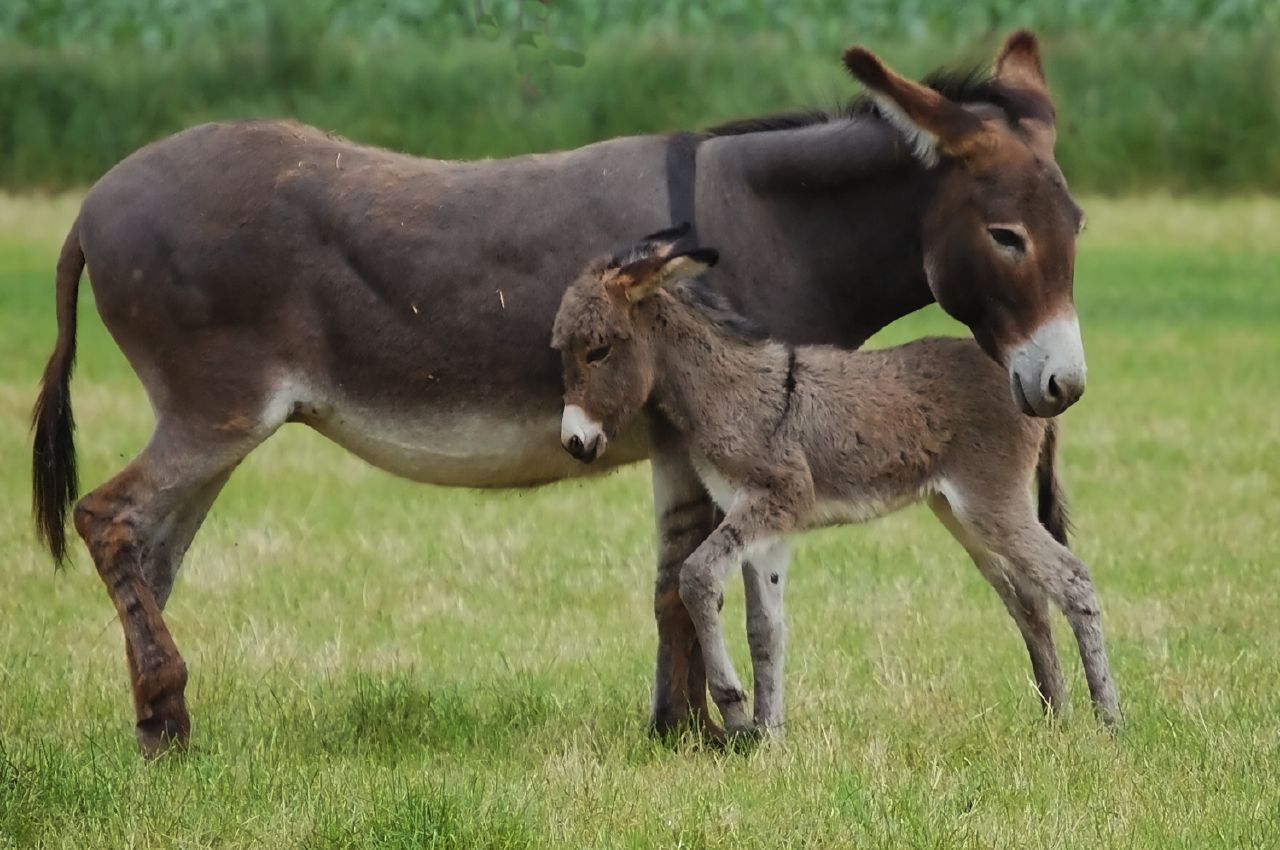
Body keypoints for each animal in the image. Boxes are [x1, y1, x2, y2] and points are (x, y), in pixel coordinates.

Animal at [550, 227, 1121, 737]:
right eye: (563, 351)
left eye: (598, 350)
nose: (574, 442)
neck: (727, 390)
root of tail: (1024, 390)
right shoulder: (765, 524)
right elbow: (765, 629)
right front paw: (768, 735)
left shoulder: (774, 499)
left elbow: (696, 577)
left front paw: (735, 710)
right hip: (963, 513)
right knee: (1029, 599)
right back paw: (1057, 716)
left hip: (992, 503)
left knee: (1072, 579)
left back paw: (1108, 721)